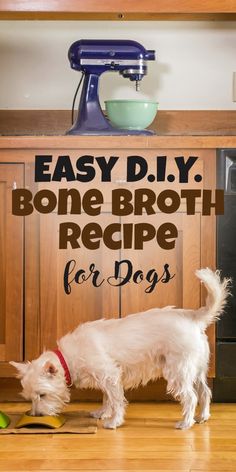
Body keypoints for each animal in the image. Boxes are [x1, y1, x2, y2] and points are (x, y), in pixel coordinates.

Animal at [11, 270, 230, 428]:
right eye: (30, 398)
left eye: (42, 395)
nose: (36, 415)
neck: (68, 357)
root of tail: (194, 318)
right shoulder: (107, 379)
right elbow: (107, 398)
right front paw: (102, 413)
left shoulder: (109, 375)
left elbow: (116, 400)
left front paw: (113, 422)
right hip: (197, 370)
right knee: (205, 392)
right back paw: (203, 417)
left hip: (178, 371)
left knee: (191, 397)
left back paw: (186, 423)